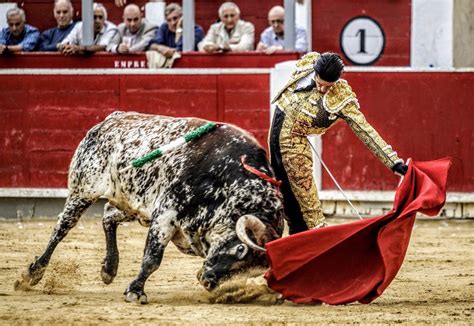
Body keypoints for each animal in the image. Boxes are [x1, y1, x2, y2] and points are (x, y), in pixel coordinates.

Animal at [17, 111, 286, 304]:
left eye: (254, 270)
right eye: (240, 250)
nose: (208, 281)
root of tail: (107, 121)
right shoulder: (166, 214)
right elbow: (152, 258)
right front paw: (136, 292)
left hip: (132, 203)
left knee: (108, 216)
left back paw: (109, 268)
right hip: (82, 190)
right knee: (62, 228)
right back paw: (33, 273)